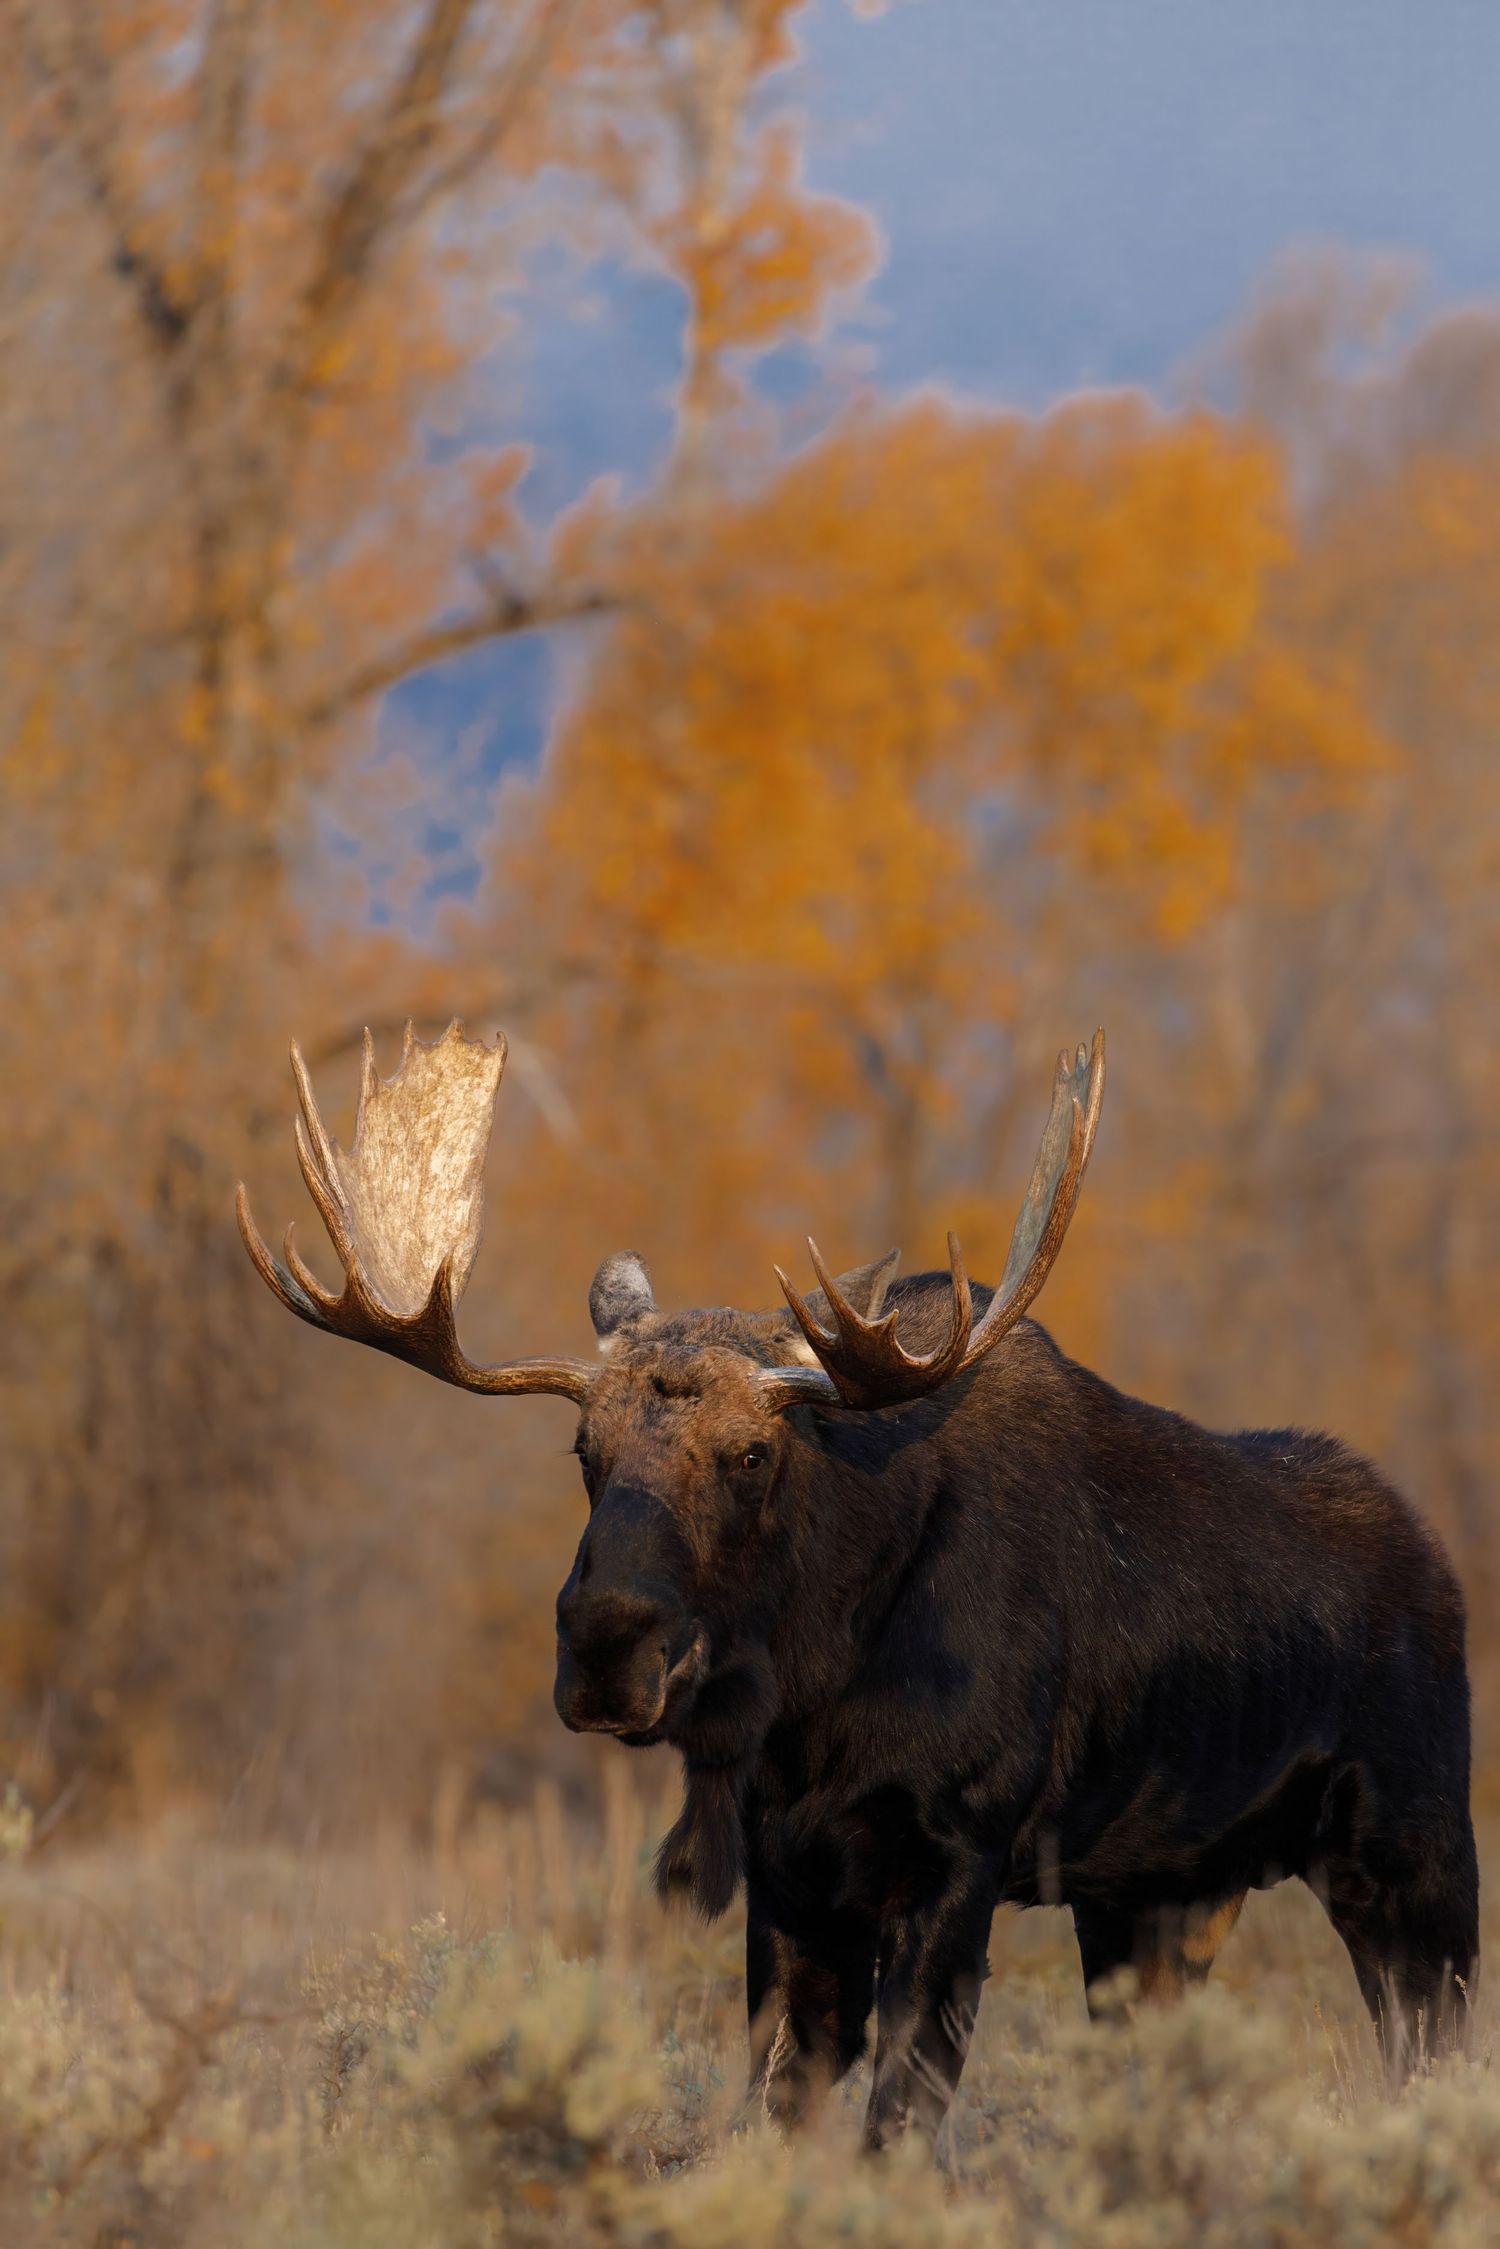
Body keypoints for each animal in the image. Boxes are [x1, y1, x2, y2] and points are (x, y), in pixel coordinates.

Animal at [239, 1020, 1477, 2144]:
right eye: (584, 1451)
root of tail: (1438, 1562)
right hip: (1158, 1896)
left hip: (1412, 1852)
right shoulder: (790, 1874)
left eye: (752, 1454)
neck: (815, 1699)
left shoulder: (956, 1857)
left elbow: (898, 2122)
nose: (604, 1646)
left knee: (1431, 2052)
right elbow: (780, 2111)